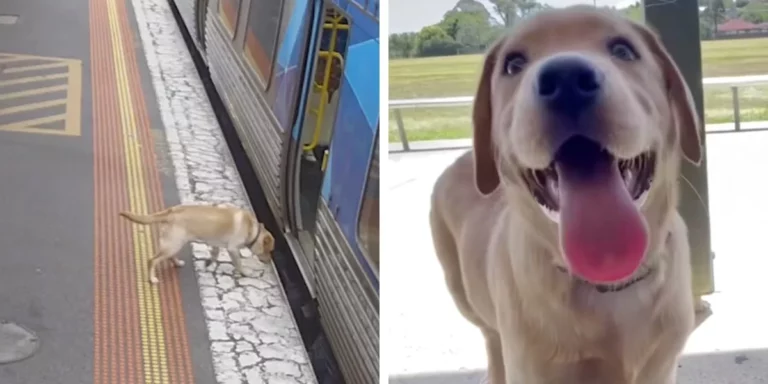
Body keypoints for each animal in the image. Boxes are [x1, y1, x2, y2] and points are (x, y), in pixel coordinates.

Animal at [120, 204, 276, 282]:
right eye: (269, 251)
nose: (269, 261)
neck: (252, 229)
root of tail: (170, 211)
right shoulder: (233, 249)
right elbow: (238, 263)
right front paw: (245, 273)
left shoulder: (215, 243)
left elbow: (215, 253)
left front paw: (209, 262)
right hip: (173, 244)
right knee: (152, 260)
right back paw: (152, 278)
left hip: (175, 243)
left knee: (168, 257)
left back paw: (177, 263)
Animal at [428, 6, 704, 384]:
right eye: (513, 64)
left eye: (623, 50)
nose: (566, 79)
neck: (608, 283)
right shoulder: (531, 366)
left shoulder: (661, 366)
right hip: (463, 293)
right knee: (490, 336)